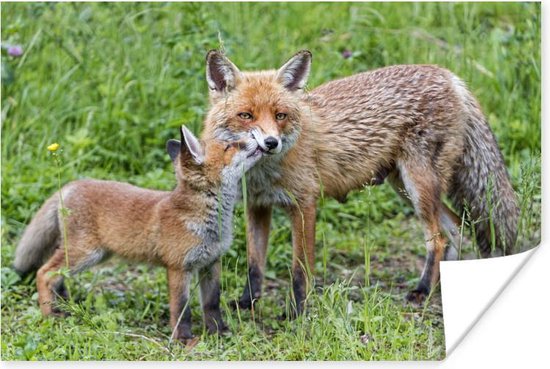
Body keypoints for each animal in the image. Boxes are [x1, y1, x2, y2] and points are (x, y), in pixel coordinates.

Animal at [202, 49, 516, 314]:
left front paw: (297, 312)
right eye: (246, 115)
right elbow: (254, 265)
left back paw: (422, 290)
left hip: (418, 185)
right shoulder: (257, 206)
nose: (271, 143)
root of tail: (449, 76)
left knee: (438, 239)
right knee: (456, 230)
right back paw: (439, 287)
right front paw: (247, 303)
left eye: (281, 115)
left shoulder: (304, 205)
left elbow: (300, 270)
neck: (263, 173)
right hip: (405, 188)